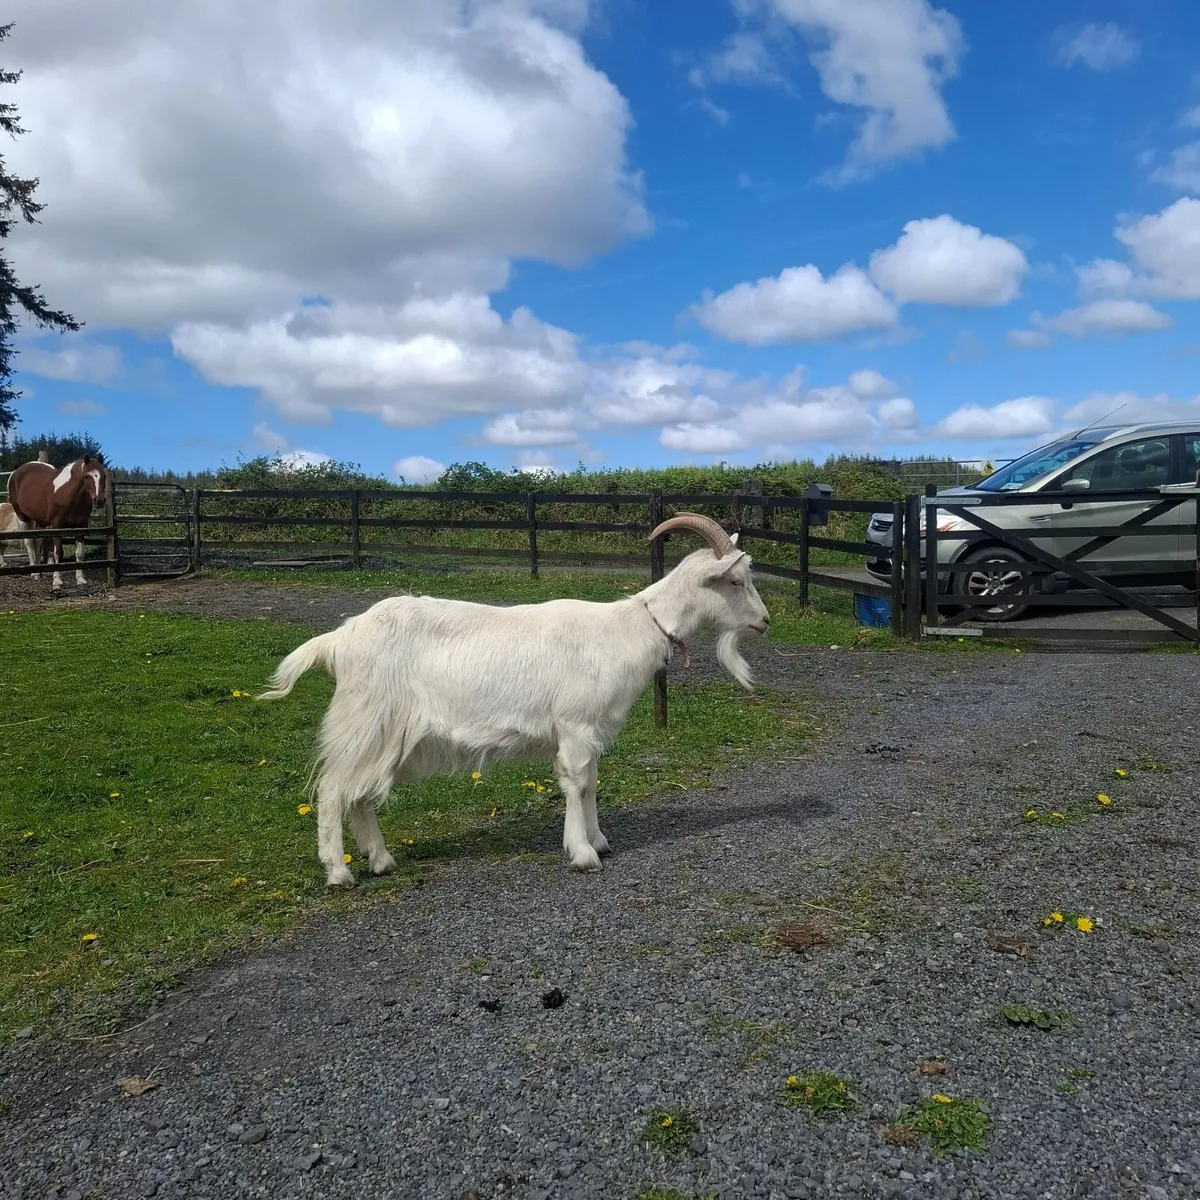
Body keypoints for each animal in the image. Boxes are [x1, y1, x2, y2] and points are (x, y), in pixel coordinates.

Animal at [259, 513, 770, 887]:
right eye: (735, 581)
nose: (765, 621)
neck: (627, 629)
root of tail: (339, 640)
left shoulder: (589, 730)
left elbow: (591, 783)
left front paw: (599, 840)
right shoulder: (574, 726)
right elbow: (576, 783)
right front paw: (583, 852)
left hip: (386, 734)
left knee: (360, 794)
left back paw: (381, 861)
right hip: (364, 720)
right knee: (333, 789)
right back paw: (339, 872)